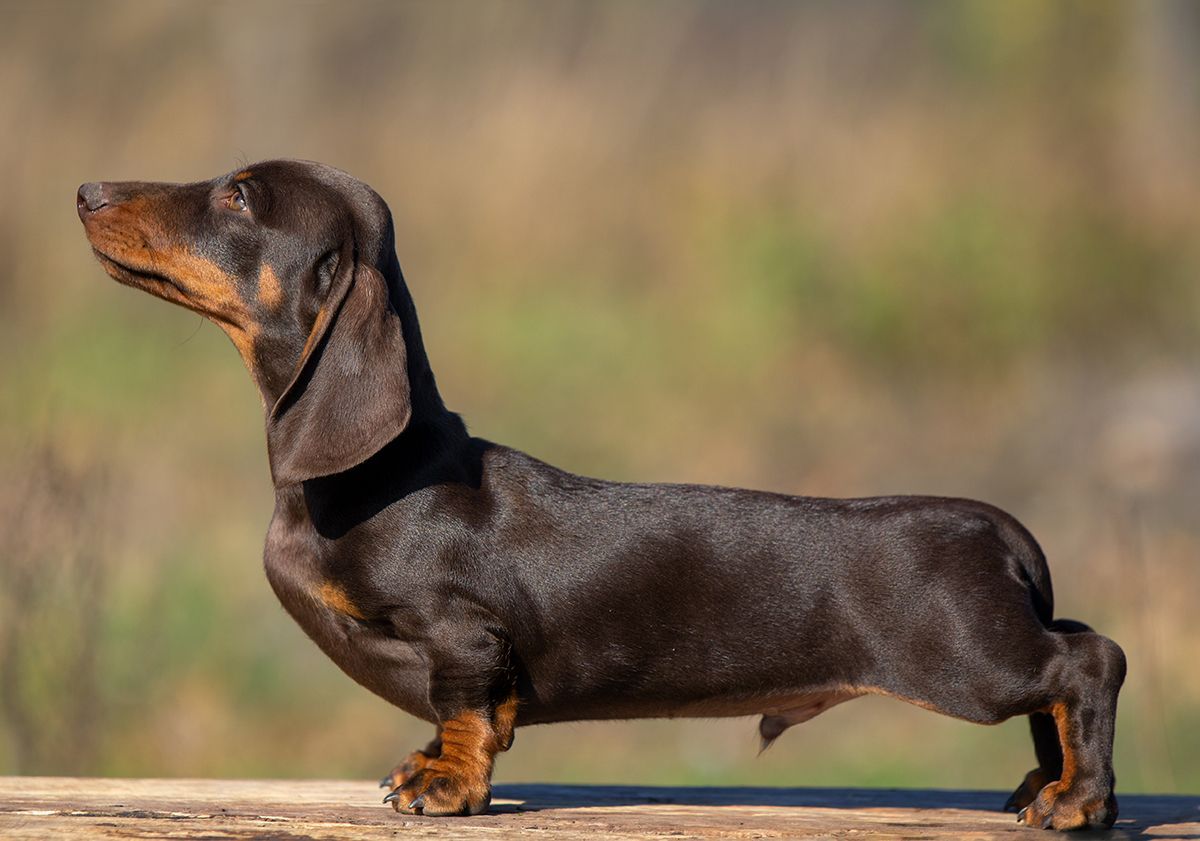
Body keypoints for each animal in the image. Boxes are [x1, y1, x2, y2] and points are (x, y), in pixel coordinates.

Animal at [77, 160, 1123, 830]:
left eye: (239, 194)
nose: (87, 192)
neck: (374, 476)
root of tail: (994, 525)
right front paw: (435, 763)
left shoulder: (463, 633)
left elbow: (465, 711)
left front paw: (448, 784)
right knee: (1068, 659)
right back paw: (1052, 782)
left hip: (963, 661)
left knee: (1089, 661)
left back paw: (1078, 800)